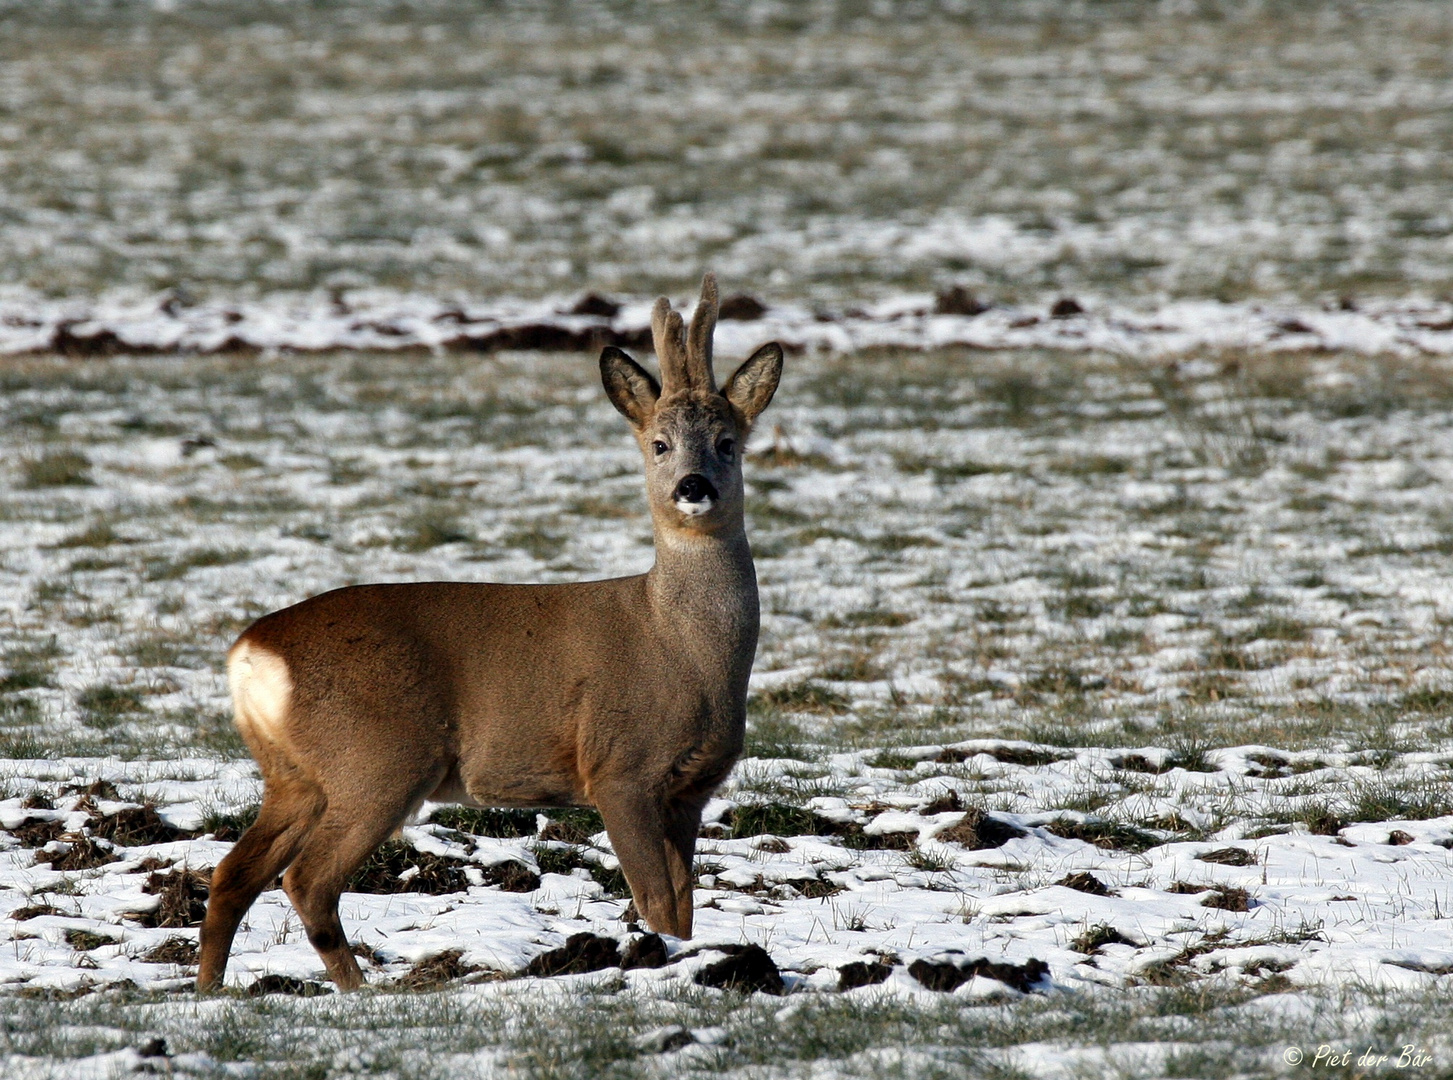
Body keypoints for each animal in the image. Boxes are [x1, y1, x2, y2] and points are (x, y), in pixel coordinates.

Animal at [201, 274, 784, 994]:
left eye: (728, 442)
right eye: (659, 443)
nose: (693, 486)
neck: (684, 649)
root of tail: (250, 654)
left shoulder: (690, 790)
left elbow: (681, 907)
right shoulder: (619, 767)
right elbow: (654, 902)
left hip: (295, 774)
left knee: (233, 875)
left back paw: (209, 992)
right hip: (376, 758)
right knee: (306, 879)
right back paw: (360, 992)